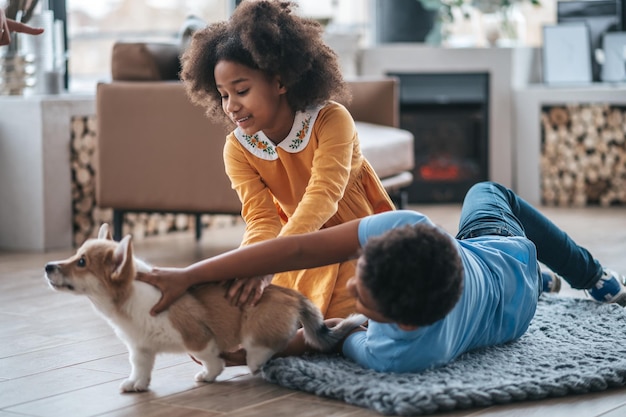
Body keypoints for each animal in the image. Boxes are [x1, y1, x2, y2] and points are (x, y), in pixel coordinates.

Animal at [45, 223, 366, 392]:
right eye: (76, 255)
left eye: (81, 263)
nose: (48, 267)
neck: (129, 301)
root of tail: (293, 296)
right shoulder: (140, 348)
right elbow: (140, 367)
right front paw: (136, 384)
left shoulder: (197, 338)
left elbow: (209, 358)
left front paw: (209, 376)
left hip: (255, 330)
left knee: (263, 349)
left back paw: (256, 362)